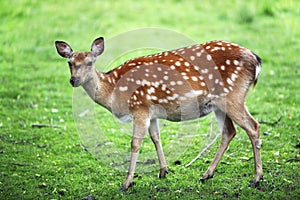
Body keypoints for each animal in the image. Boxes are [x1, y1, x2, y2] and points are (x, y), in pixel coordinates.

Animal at [54, 36, 262, 191]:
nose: (74, 80)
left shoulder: (139, 106)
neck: (114, 92)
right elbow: (155, 137)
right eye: (69, 62)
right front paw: (163, 171)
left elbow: (135, 143)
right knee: (229, 131)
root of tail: (256, 60)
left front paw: (126, 183)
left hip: (233, 96)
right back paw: (206, 174)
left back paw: (256, 178)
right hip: (218, 105)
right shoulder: (151, 113)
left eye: (90, 62)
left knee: (253, 126)